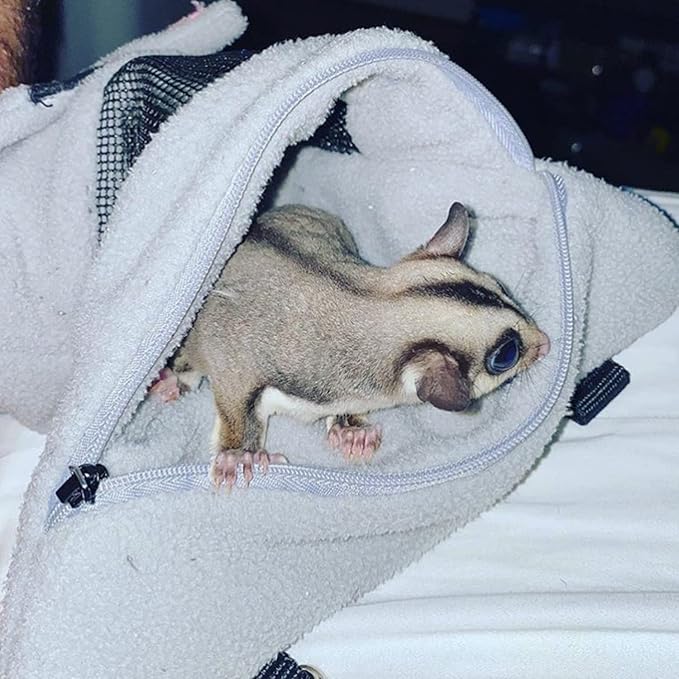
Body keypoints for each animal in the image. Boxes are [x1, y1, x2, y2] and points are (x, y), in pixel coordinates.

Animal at [173, 203, 550, 489]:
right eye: (506, 355)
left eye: (500, 286)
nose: (545, 343)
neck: (371, 297)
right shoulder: (240, 355)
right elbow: (236, 395)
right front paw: (240, 457)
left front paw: (351, 430)